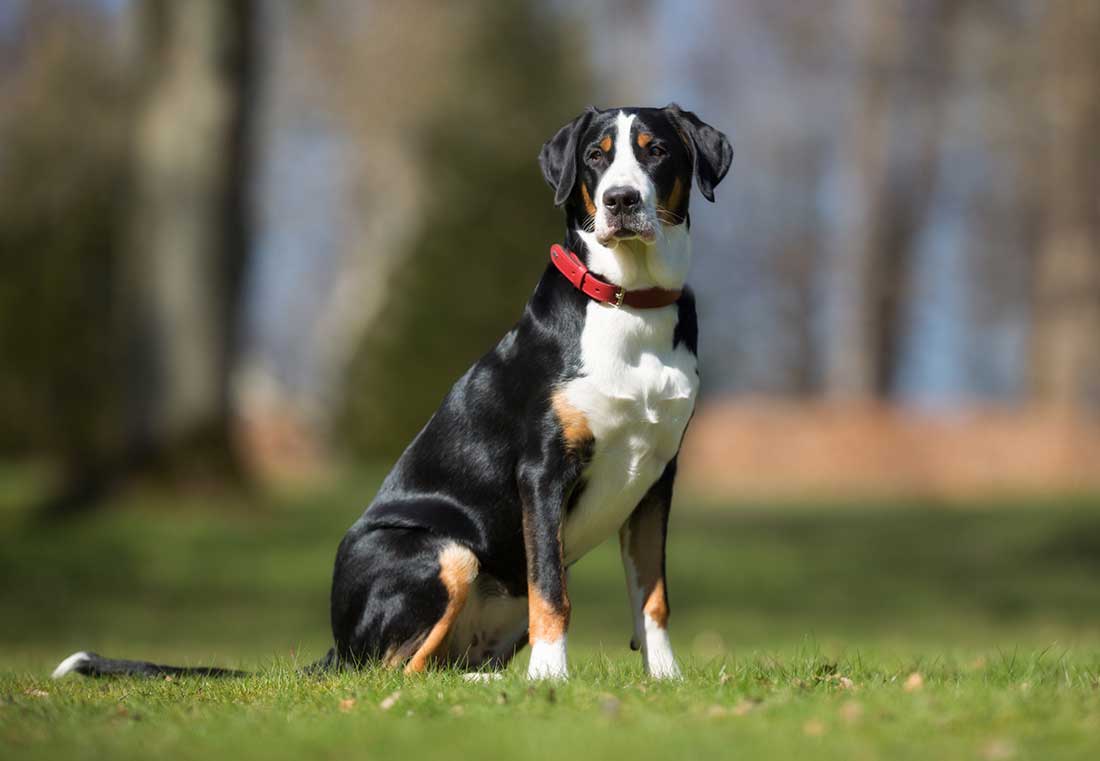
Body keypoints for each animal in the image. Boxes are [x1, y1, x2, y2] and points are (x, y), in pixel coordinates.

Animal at [55, 103, 734, 681]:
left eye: (655, 152)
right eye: (596, 155)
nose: (621, 200)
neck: (630, 307)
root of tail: (338, 644)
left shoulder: (656, 476)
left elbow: (652, 596)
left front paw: (666, 680)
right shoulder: (542, 472)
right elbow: (553, 593)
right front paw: (550, 681)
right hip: (444, 551)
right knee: (397, 673)